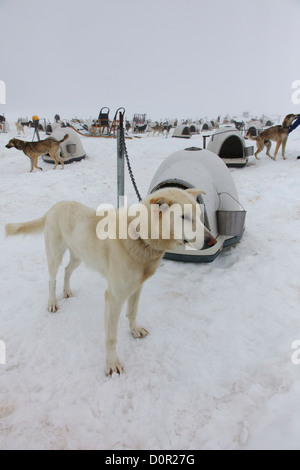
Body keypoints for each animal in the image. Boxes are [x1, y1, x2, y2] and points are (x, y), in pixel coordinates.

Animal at [4, 187, 216, 374]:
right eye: (184, 217)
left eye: (199, 215)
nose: (212, 241)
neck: (140, 237)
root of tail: (55, 206)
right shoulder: (113, 298)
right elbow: (111, 338)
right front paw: (112, 364)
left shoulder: (137, 287)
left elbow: (132, 312)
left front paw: (134, 330)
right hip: (55, 255)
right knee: (51, 279)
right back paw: (52, 302)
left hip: (79, 257)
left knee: (67, 271)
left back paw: (67, 291)